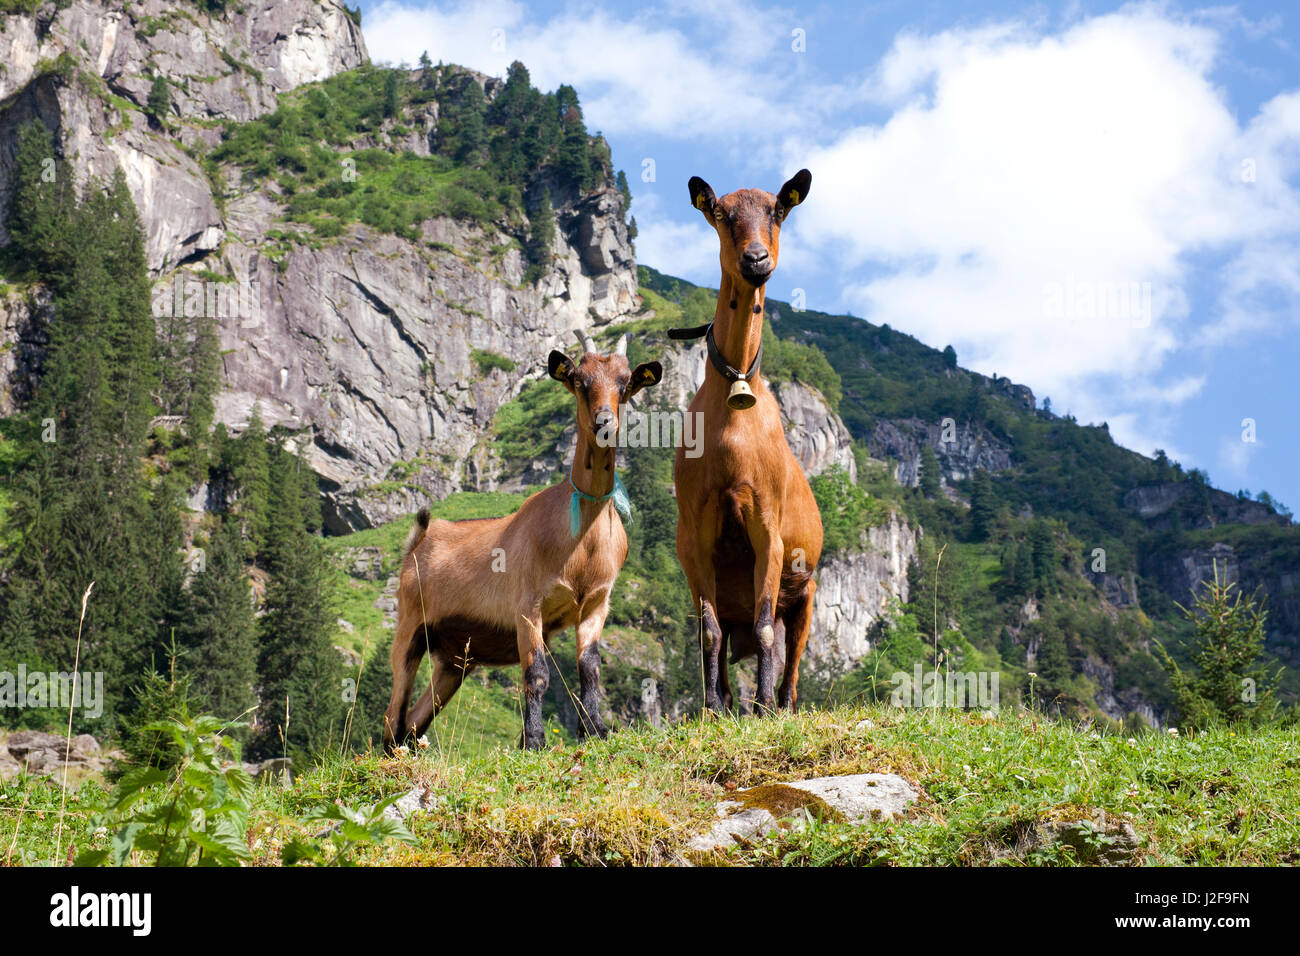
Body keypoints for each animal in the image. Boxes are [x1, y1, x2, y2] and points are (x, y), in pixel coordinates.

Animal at [379, 332, 655, 749]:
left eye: (626, 384)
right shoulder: (528, 604)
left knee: (414, 720)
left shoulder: (596, 603)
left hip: (455, 660)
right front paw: (534, 740)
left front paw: (595, 730)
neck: (582, 538)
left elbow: (590, 668)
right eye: (580, 381)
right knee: (394, 711)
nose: (604, 422)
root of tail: (422, 538)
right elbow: (537, 673)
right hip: (411, 626)